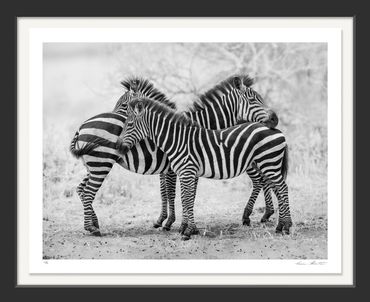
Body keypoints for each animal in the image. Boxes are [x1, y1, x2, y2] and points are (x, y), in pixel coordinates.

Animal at [70, 75, 278, 236]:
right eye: (254, 100)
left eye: (124, 104)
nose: (275, 119)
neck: (202, 124)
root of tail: (81, 127)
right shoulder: (179, 167)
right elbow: (176, 193)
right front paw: (174, 223)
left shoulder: (175, 167)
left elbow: (172, 193)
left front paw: (170, 222)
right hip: (100, 163)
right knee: (86, 191)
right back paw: (92, 227)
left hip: (95, 165)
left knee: (82, 189)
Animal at [116, 98, 292, 241]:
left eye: (129, 124)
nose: (117, 146)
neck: (177, 140)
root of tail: (277, 130)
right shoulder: (184, 173)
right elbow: (185, 199)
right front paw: (186, 228)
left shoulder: (187, 171)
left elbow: (187, 199)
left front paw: (188, 231)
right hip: (265, 164)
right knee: (276, 188)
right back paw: (280, 226)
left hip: (268, 163)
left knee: (282, 187)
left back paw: (287, 226)